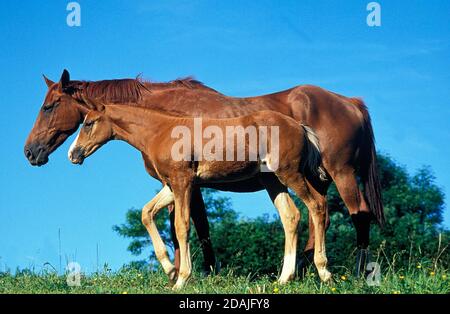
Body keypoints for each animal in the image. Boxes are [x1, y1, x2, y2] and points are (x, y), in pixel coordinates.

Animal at [69, 96, 330, 290]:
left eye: (89, 123)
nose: (73, 154)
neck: (161, 131)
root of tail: (300, 127)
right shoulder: (171, 186)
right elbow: (147, 213)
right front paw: (169, 270)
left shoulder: (182, 182)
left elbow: (182, 226)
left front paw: (181, 279)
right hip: (273, 181)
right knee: (291, 216)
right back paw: (285, 278)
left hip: (290, 174)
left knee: (317, 205)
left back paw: (324, 271)